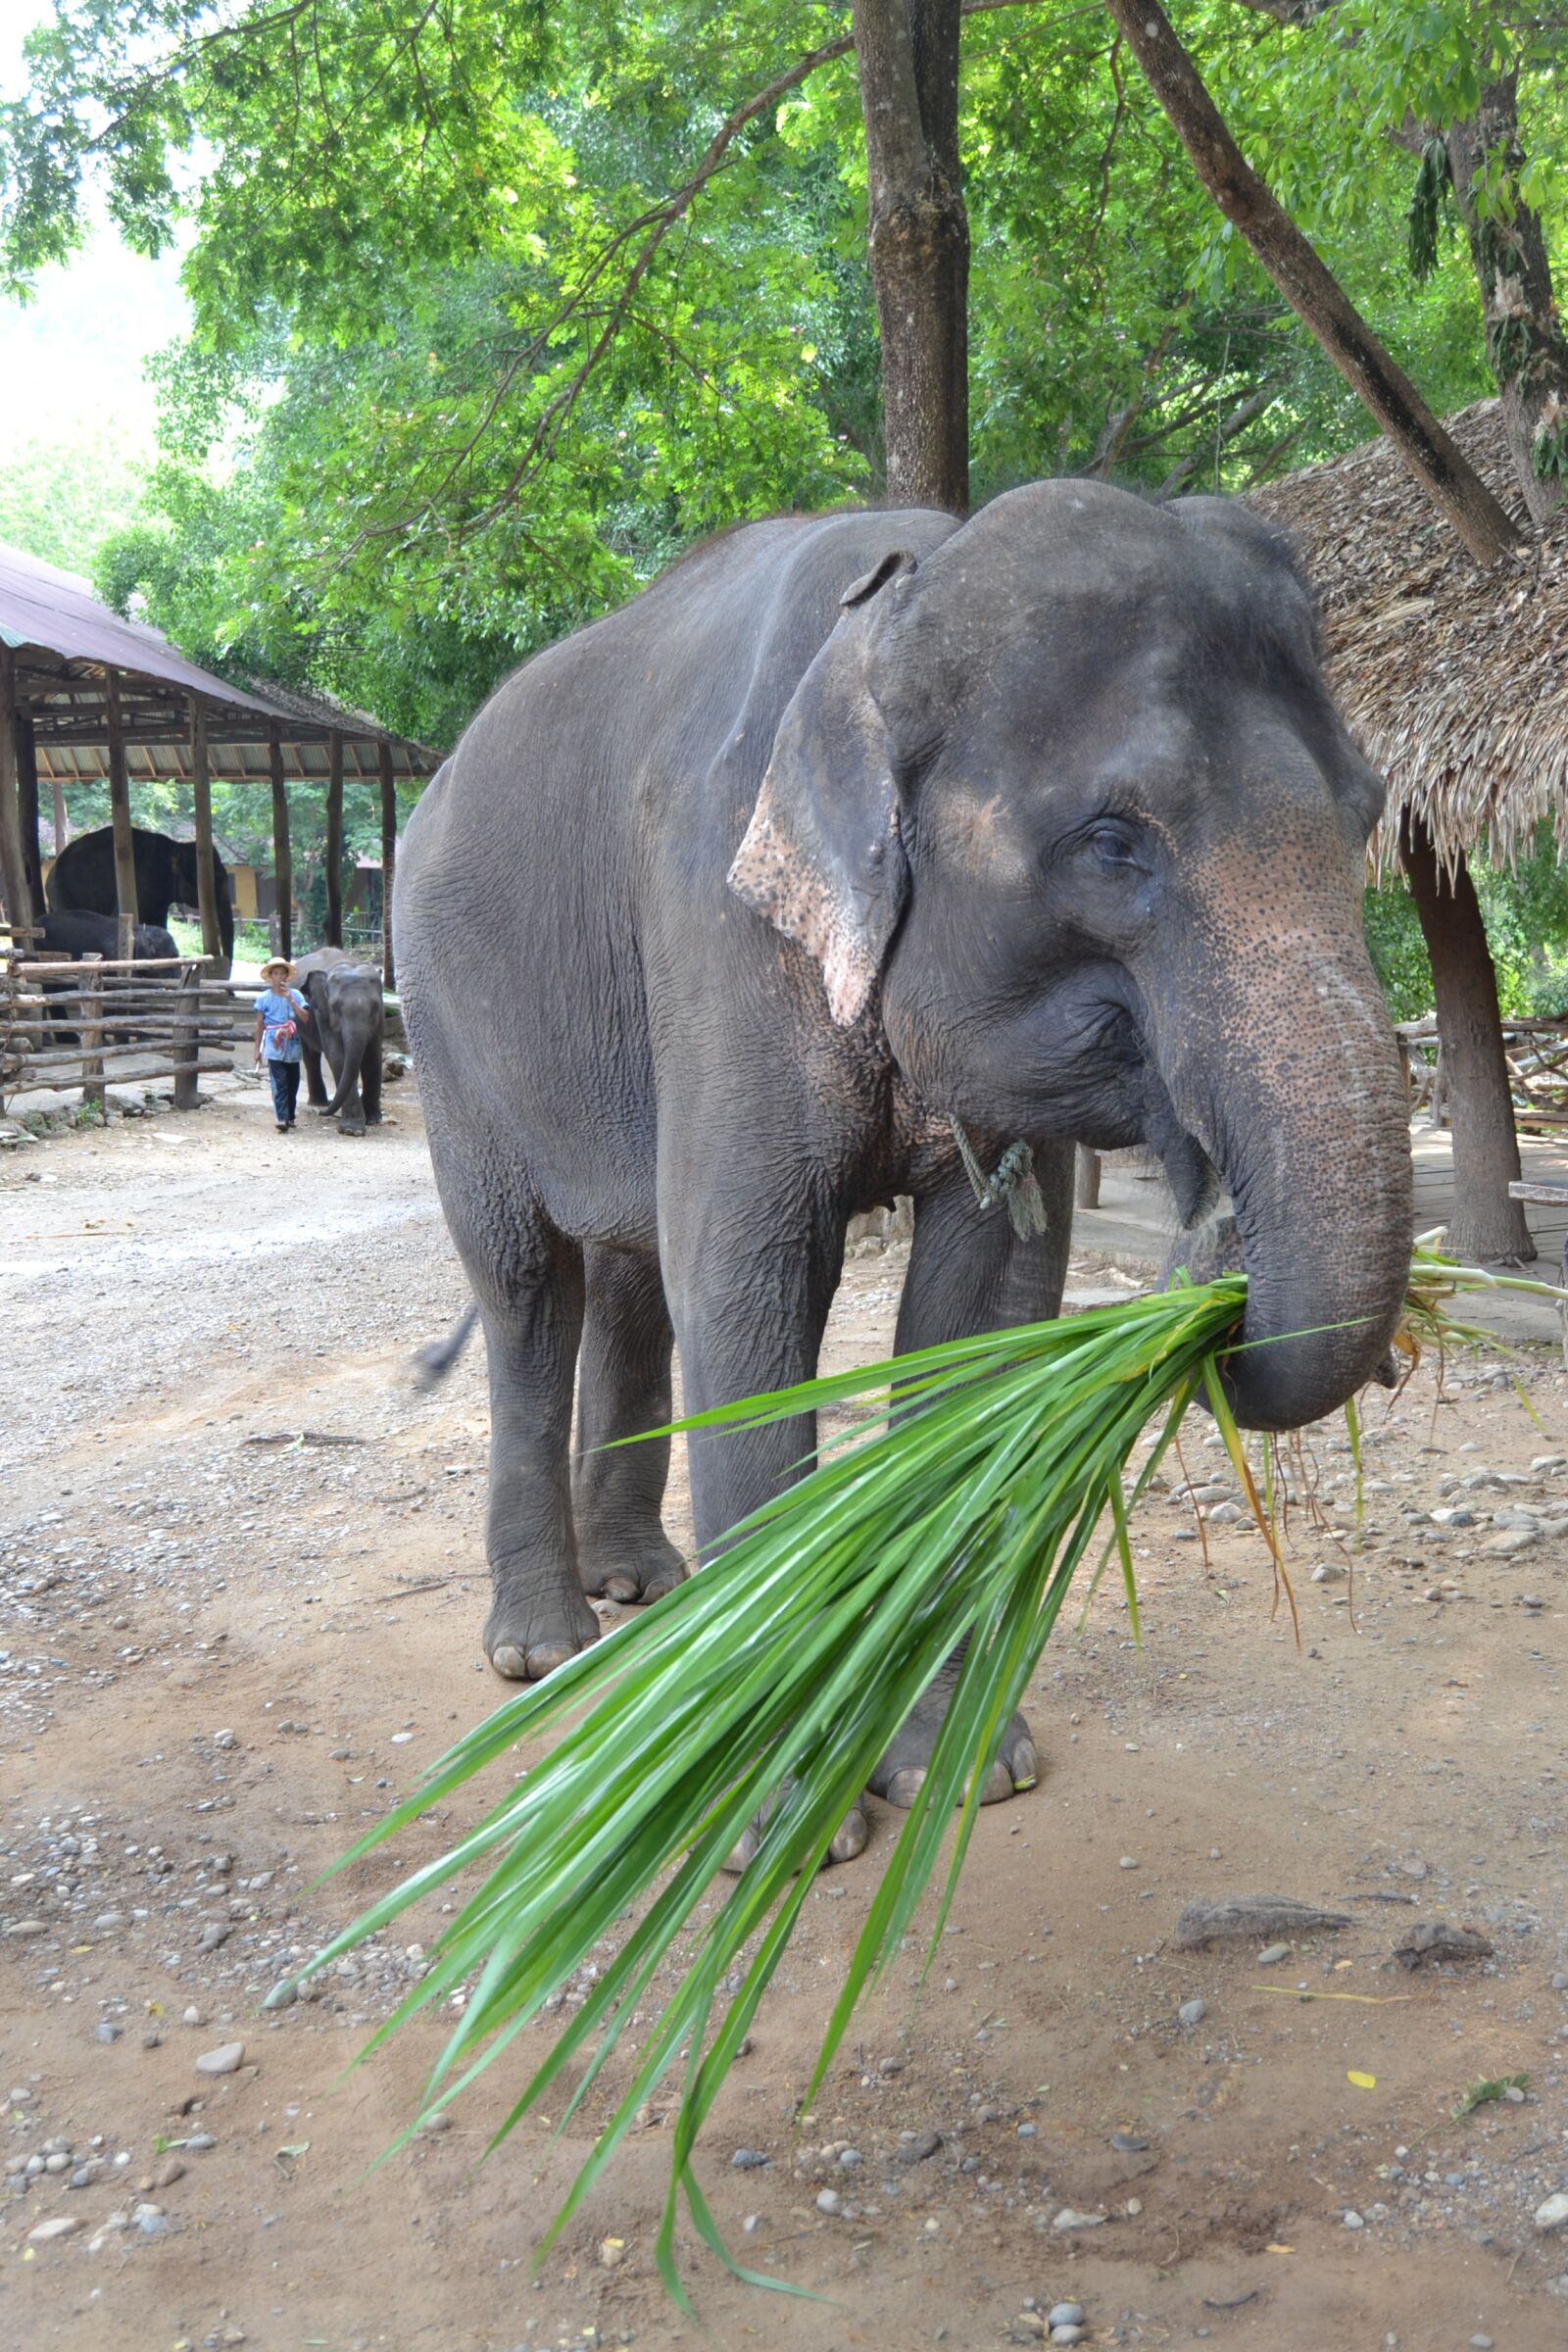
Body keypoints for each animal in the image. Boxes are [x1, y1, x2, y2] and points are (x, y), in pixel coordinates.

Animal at [293, 948, 385, 1136]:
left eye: (375, 1007)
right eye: (334, 1007)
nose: (322, 1114)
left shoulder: (380, 1018)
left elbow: (373, 1056)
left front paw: (373, 1119)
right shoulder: (322, 1013)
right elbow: (337, 1055)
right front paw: (352, 1130)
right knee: (310, 1056)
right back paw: (319, 1103)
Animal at [397, 481, 1412, 1849]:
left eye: (1367, 815)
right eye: (1113, 843)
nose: (1217, 1288)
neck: (900, 595)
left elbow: (982, 1310)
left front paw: (960, 1770)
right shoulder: (716, 927)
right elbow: (750, 1288)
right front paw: (771, 1828)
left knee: (628, 1276)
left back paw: (643, 1590)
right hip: (443, 1028)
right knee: (525, 1288)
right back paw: (544, 1651)